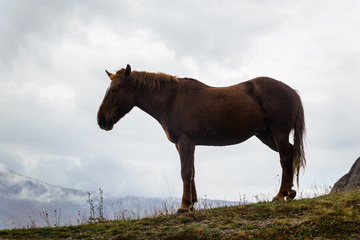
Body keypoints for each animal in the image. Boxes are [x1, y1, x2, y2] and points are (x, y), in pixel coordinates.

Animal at [97, 64, 306, 214]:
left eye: (115, 90)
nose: (101, 120)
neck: (172, 99)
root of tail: (292, 91)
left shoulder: (186, 141)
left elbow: (185, 172)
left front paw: (183, 206)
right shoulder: (182, 144)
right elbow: (192, 171)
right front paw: (191, 203)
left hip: (278, 132)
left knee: (285, 157)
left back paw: (279, 195)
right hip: (267, 135)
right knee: (290, 153)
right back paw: (290, 192)